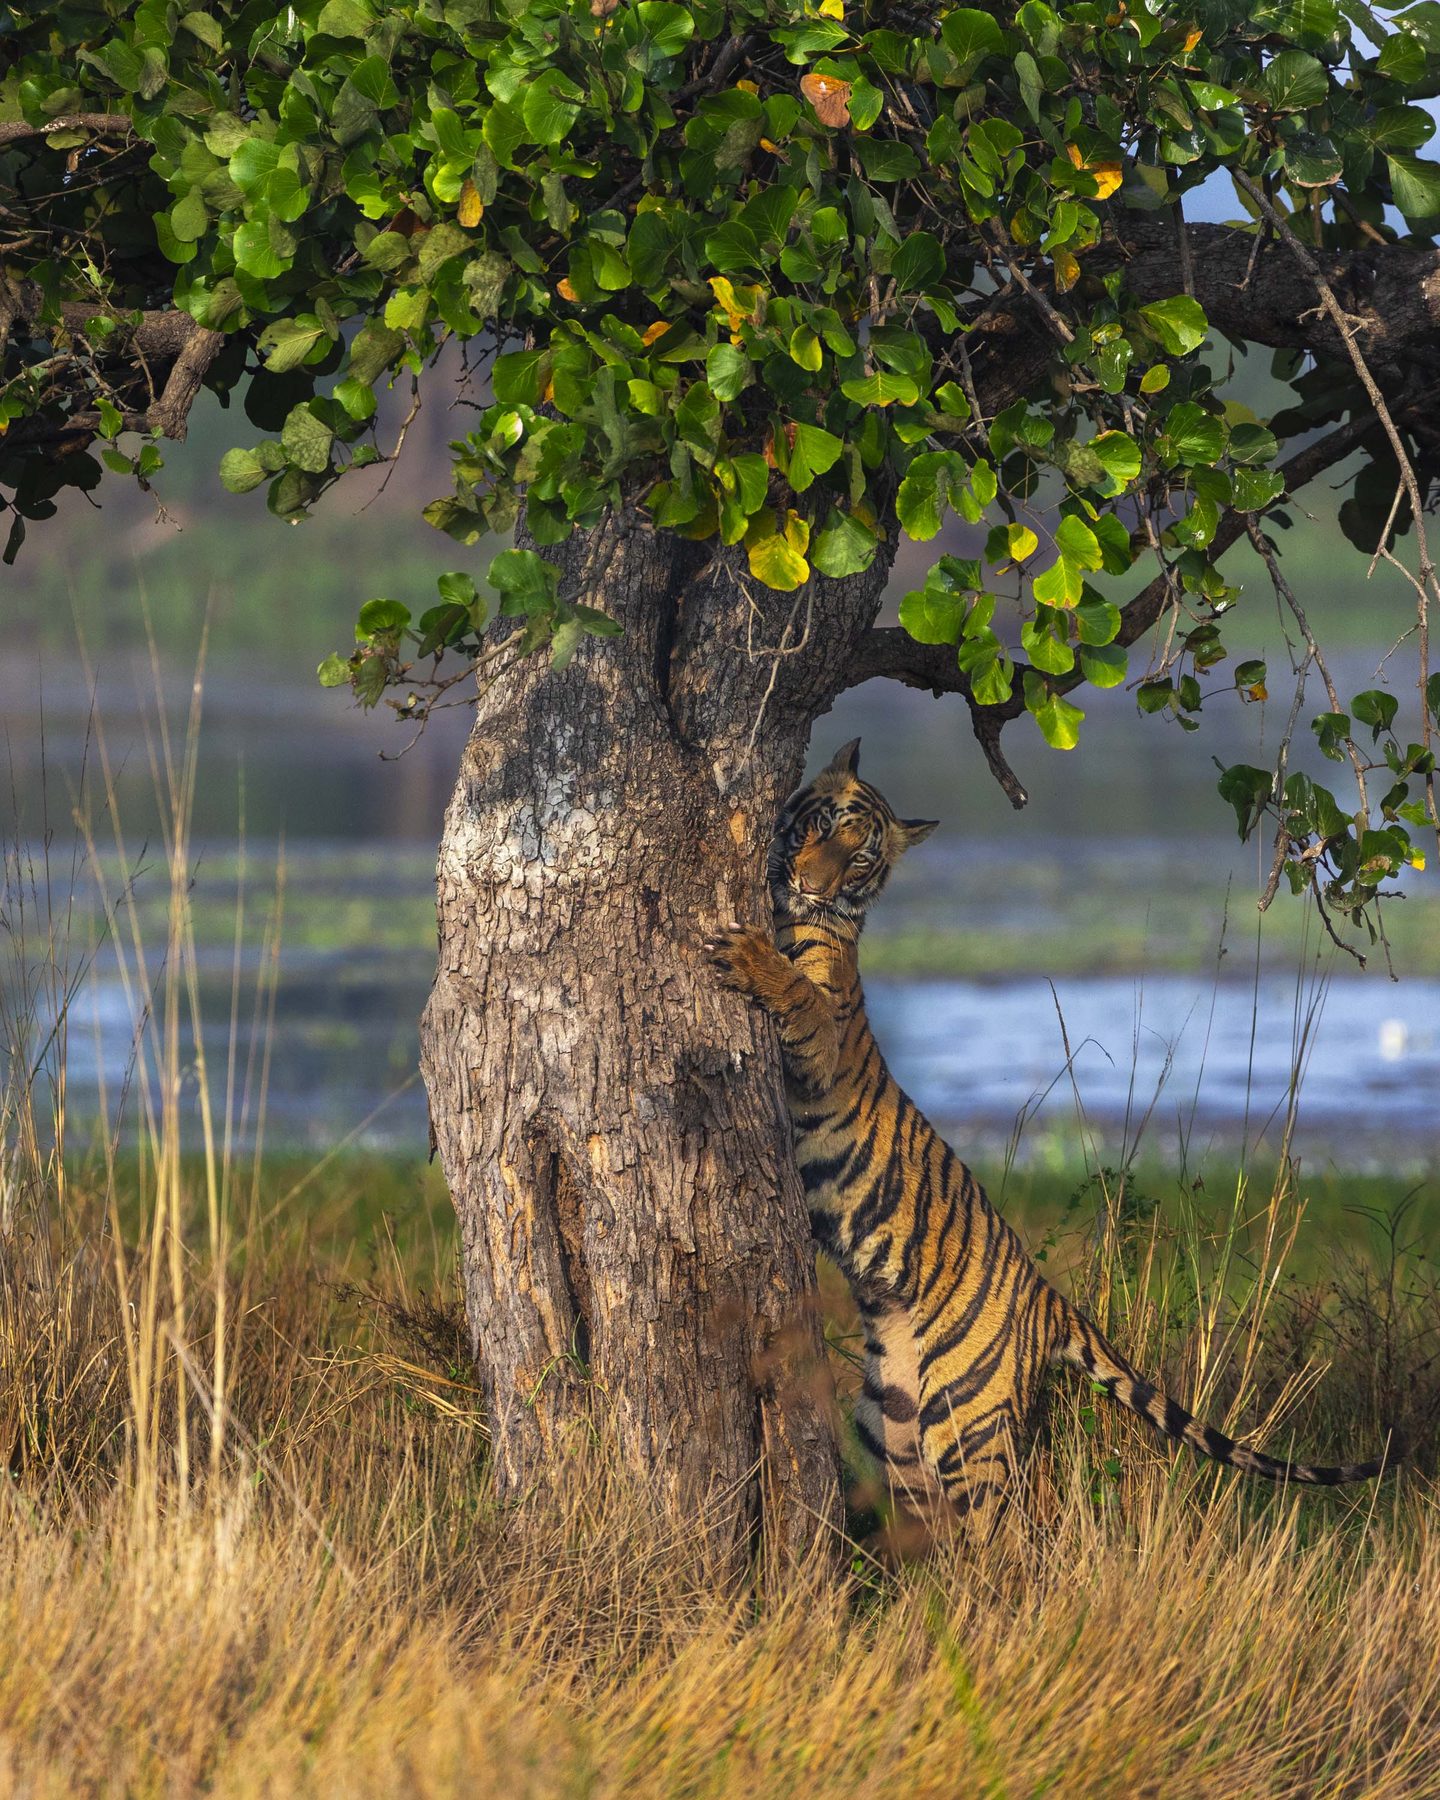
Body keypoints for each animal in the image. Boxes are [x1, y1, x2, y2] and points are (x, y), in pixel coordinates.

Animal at [705, 737, 1396, 1538]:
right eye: (820, 826)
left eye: (859, 859)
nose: (811, 884)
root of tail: (1050, 1299)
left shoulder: (824, 1038)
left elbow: (795, 993)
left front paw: (748, 956)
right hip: (892, 1431)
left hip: (967, 1423)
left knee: (998, 1533)